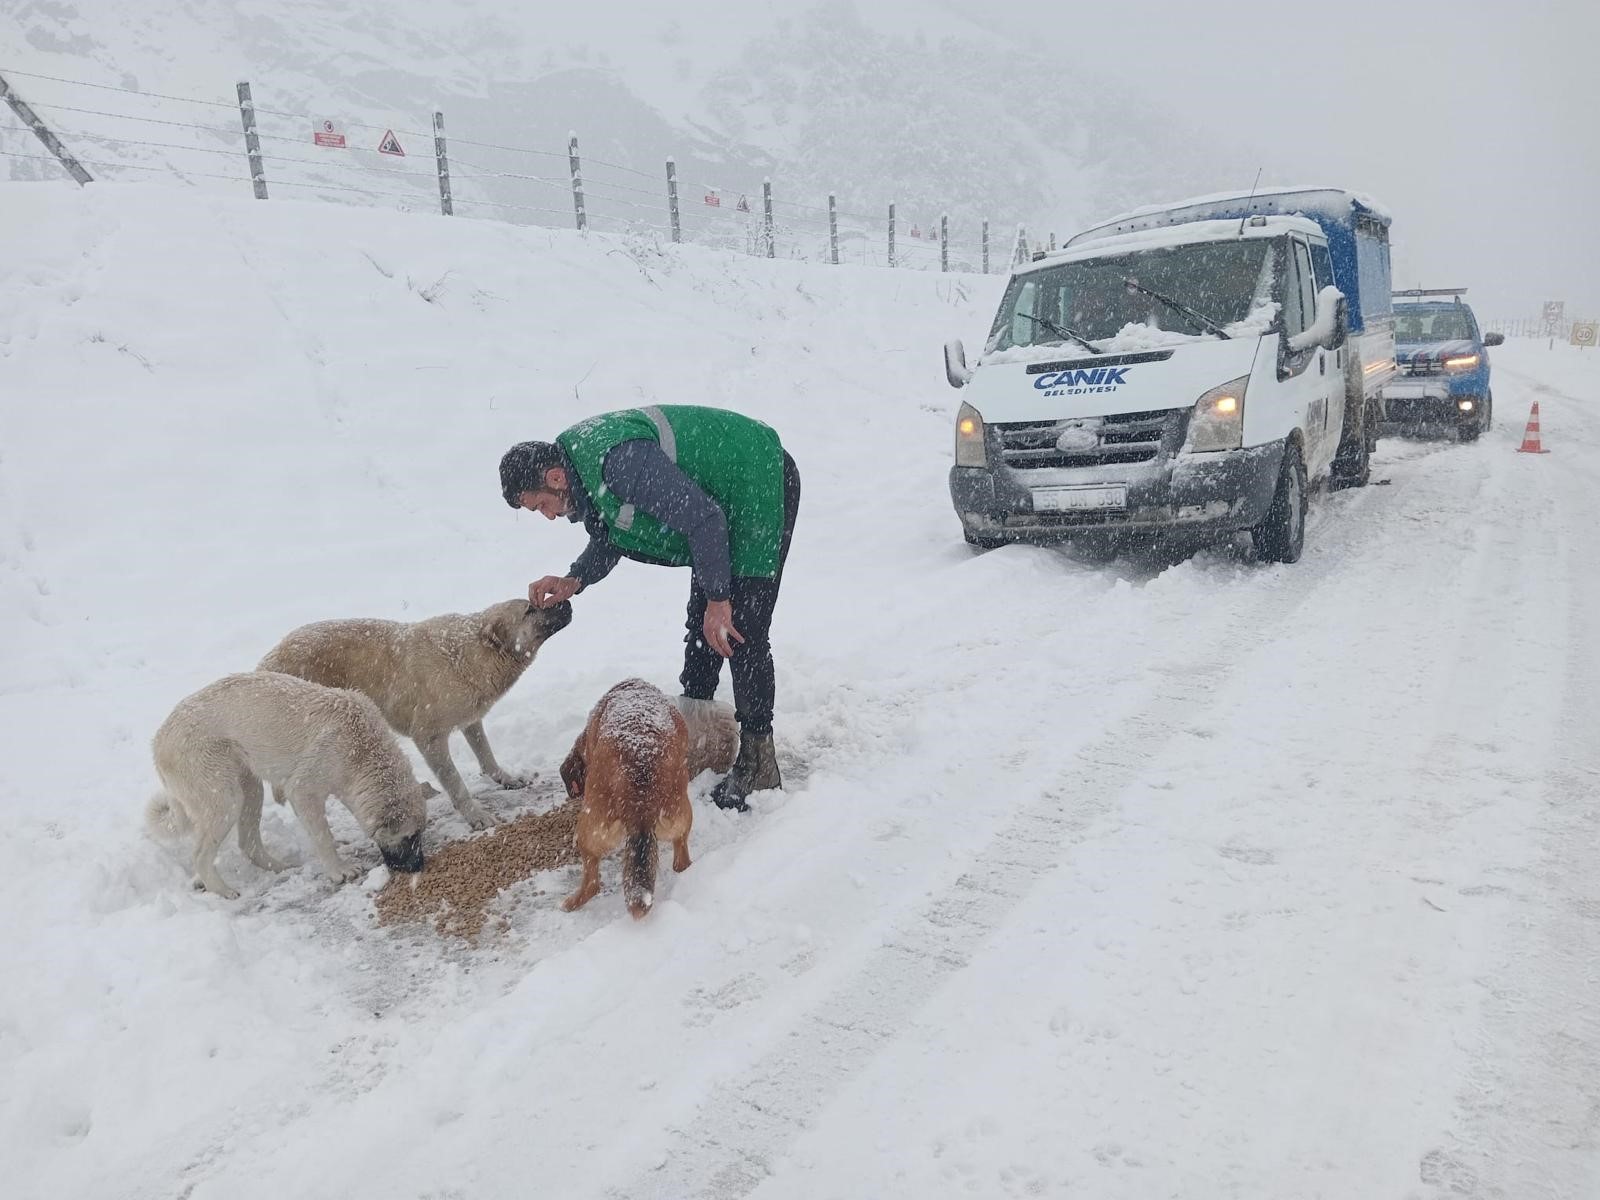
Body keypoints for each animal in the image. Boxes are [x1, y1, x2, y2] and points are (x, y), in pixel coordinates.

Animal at [150, 672, 438, 896]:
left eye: (420, 833)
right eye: (409, 836)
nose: (419, 867)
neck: (362, 751)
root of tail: (158, 739)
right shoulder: (303, 790)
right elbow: (323, 836)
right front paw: (340, 870)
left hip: (250, 788)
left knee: (248, 843)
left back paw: (280, 868)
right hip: (223, 798)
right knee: (201, 854)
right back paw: (223, 891)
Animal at [267, 598, 576, 832]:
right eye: (529, 610)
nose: (569, 601)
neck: (469, 654)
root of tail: (269, 662)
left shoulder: (471, 721)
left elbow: (486, 757)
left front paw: (506, 779)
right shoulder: (428, 738)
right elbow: (456, 784)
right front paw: (476, 816)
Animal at [560, 681, 691, 928]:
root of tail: (640, 801)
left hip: (589, 831)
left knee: (592, 884)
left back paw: (569, 903)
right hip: (681, 818)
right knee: (682, 862)